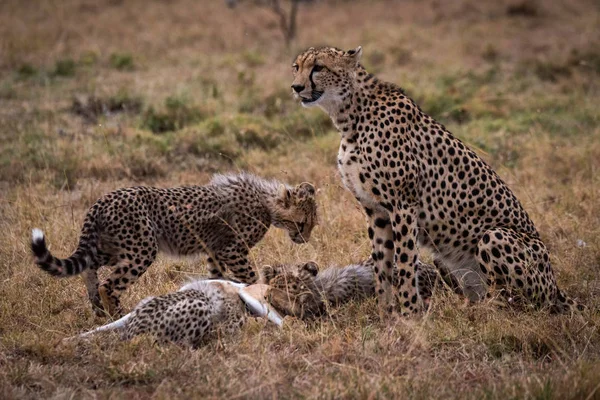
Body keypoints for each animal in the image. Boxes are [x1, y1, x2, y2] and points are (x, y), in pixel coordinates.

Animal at [31, 173, 318, 318]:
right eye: (303, 223)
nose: (304, 239)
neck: (268, 202)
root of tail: (104, 198)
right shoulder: (232, 250)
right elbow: (249, 277)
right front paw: (258, 295)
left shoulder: (214, 250)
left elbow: (215, 276)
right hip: (142, 249)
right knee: (108, 285)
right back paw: (116, 313)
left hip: (111, 247)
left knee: (88, 267)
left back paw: (97, 307)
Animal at [290, 45, 580, 314]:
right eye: (296, 67)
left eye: (318, 67)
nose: (296, 87)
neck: (350, 115)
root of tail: (556, 287)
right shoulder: (376, 210)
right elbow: (382, 265)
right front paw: (385, 313)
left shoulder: (403, 205)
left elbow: (404, 263)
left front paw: (409, 312)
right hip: (444, 257)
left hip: (495, 237)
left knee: (516, 303)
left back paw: (481, 313)